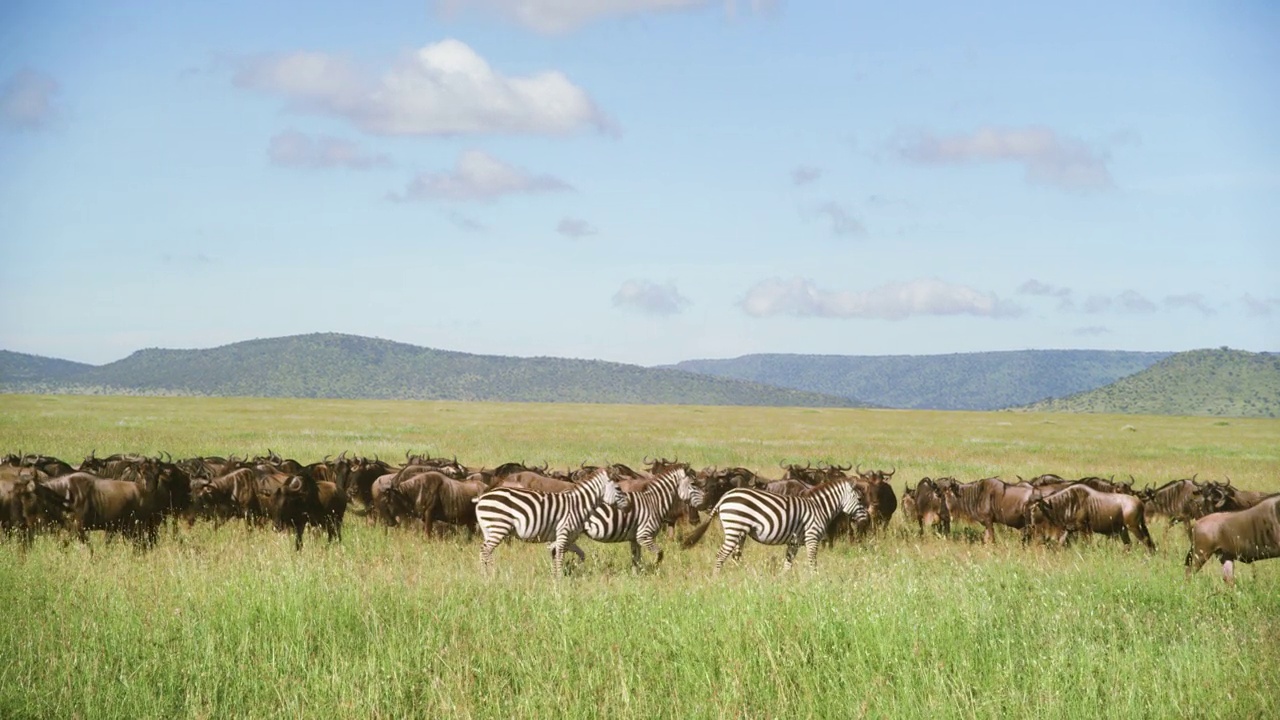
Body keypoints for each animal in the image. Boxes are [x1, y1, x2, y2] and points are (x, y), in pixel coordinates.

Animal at [473, 466, 627, 576]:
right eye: (618, 488)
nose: (627, 504)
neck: (578, 505)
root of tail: (483, 497)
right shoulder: (564, 533)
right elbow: (559, 557)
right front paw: (559, 581)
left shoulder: (566, 538)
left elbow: (580, 555)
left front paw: (570, 569)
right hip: (499, 526)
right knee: (485, 550)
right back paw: (489, 575)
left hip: (489, 529)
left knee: (485, 550)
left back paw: (487, 574)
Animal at [680, 476, 870, 571]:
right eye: (860, 499)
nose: (867, 519)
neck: (819, 507)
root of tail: (725, 496)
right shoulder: (812, 537)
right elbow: (812, 561)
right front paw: (814, 581)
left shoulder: (794, 542)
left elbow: (787, 564)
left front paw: (784, 584)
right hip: (734, 528)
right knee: (720, 556)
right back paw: (717, 579)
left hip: (739, 533)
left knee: (735, 557)